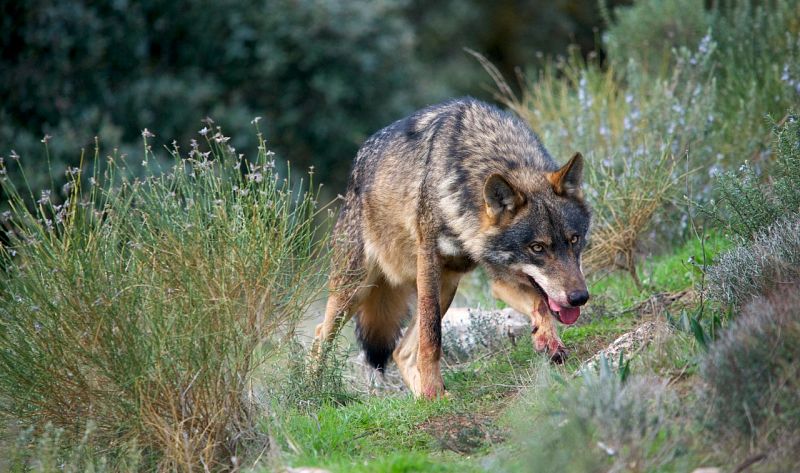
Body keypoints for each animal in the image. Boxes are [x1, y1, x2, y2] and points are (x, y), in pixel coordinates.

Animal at [316, 97, 592, 398]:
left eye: (574, 239)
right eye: (537, 248)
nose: (579, 298)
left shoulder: (499, 276)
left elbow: (539, 304)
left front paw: (548, 341)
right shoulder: (429, 261)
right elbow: (432, 337)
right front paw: (432, 388)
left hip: (446, 286)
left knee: (401, 352)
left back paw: (425, 399)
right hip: (356, 289)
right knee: (320, 335)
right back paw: (313, 391)